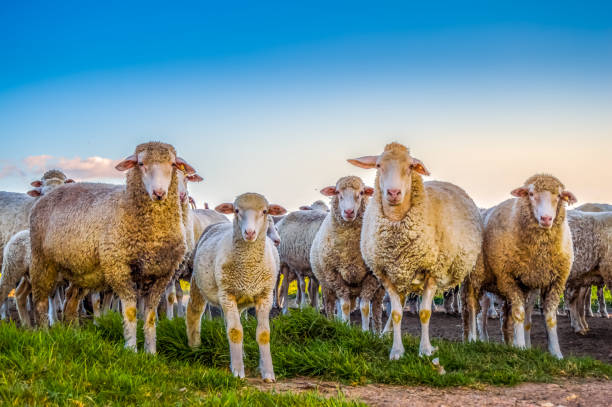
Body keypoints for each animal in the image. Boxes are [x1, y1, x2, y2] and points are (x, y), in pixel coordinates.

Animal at [29, 143, 194, 354]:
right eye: (141, 163)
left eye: (172, 164)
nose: (159, 193)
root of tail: (46, 197)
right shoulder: (118, 267)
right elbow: (130, 312)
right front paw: (131, 350)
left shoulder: (162, 274)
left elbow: (150, 316)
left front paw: (151, 352)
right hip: (42, 260)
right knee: (40, 301)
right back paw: (44, 334)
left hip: (82, 270)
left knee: (70, 301)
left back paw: (74, 335)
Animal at [310, 175, 382, 332]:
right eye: (337, 192)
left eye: (361, 192)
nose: (349, 212)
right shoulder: (334, 275)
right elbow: (345, 305)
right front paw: (346, 328)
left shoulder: (371, 277)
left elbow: (365, 307)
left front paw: (365, 332)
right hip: (326, 285)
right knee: (330, 305)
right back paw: (332, 323)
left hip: (380, 291)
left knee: (377, 311)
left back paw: (378, 333)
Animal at [464, 174, 572, 358]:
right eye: (530, 194)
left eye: (558, 196)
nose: (546, 219)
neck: (540, 252)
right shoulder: (508, 277)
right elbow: (519, 314)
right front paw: (521, 346)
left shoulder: (553, 281)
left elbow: (548, 318)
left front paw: (555, 353)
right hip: (475, 277)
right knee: (473, 310)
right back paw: (473, 339)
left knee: (504, 317)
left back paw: (507, 343)